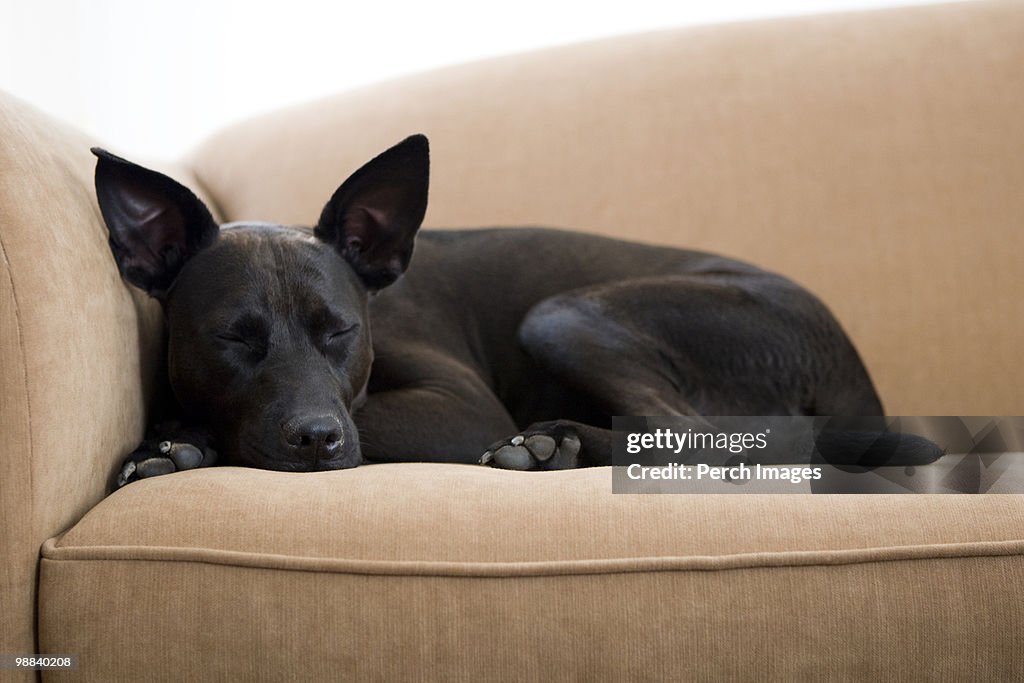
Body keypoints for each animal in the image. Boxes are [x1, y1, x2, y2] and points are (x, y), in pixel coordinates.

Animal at [94, 136, 937, 485]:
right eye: (233, 339)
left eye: (342, 331)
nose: (317, 439)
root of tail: (859, 383)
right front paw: (174, 441)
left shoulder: (461, 406)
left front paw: (187, 439)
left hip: (565, 313)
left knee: (697, 438)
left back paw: (555, 444)